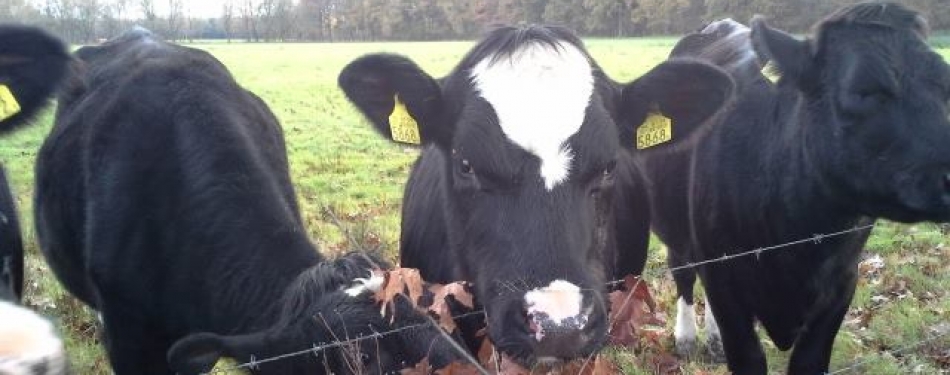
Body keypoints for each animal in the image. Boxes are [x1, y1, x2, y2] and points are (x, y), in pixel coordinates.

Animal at [632, 2, 950, 375]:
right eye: (863, 91)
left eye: (945, 85)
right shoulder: (724, 277)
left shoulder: (842, 284)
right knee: (683, 273)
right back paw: (686, 336)